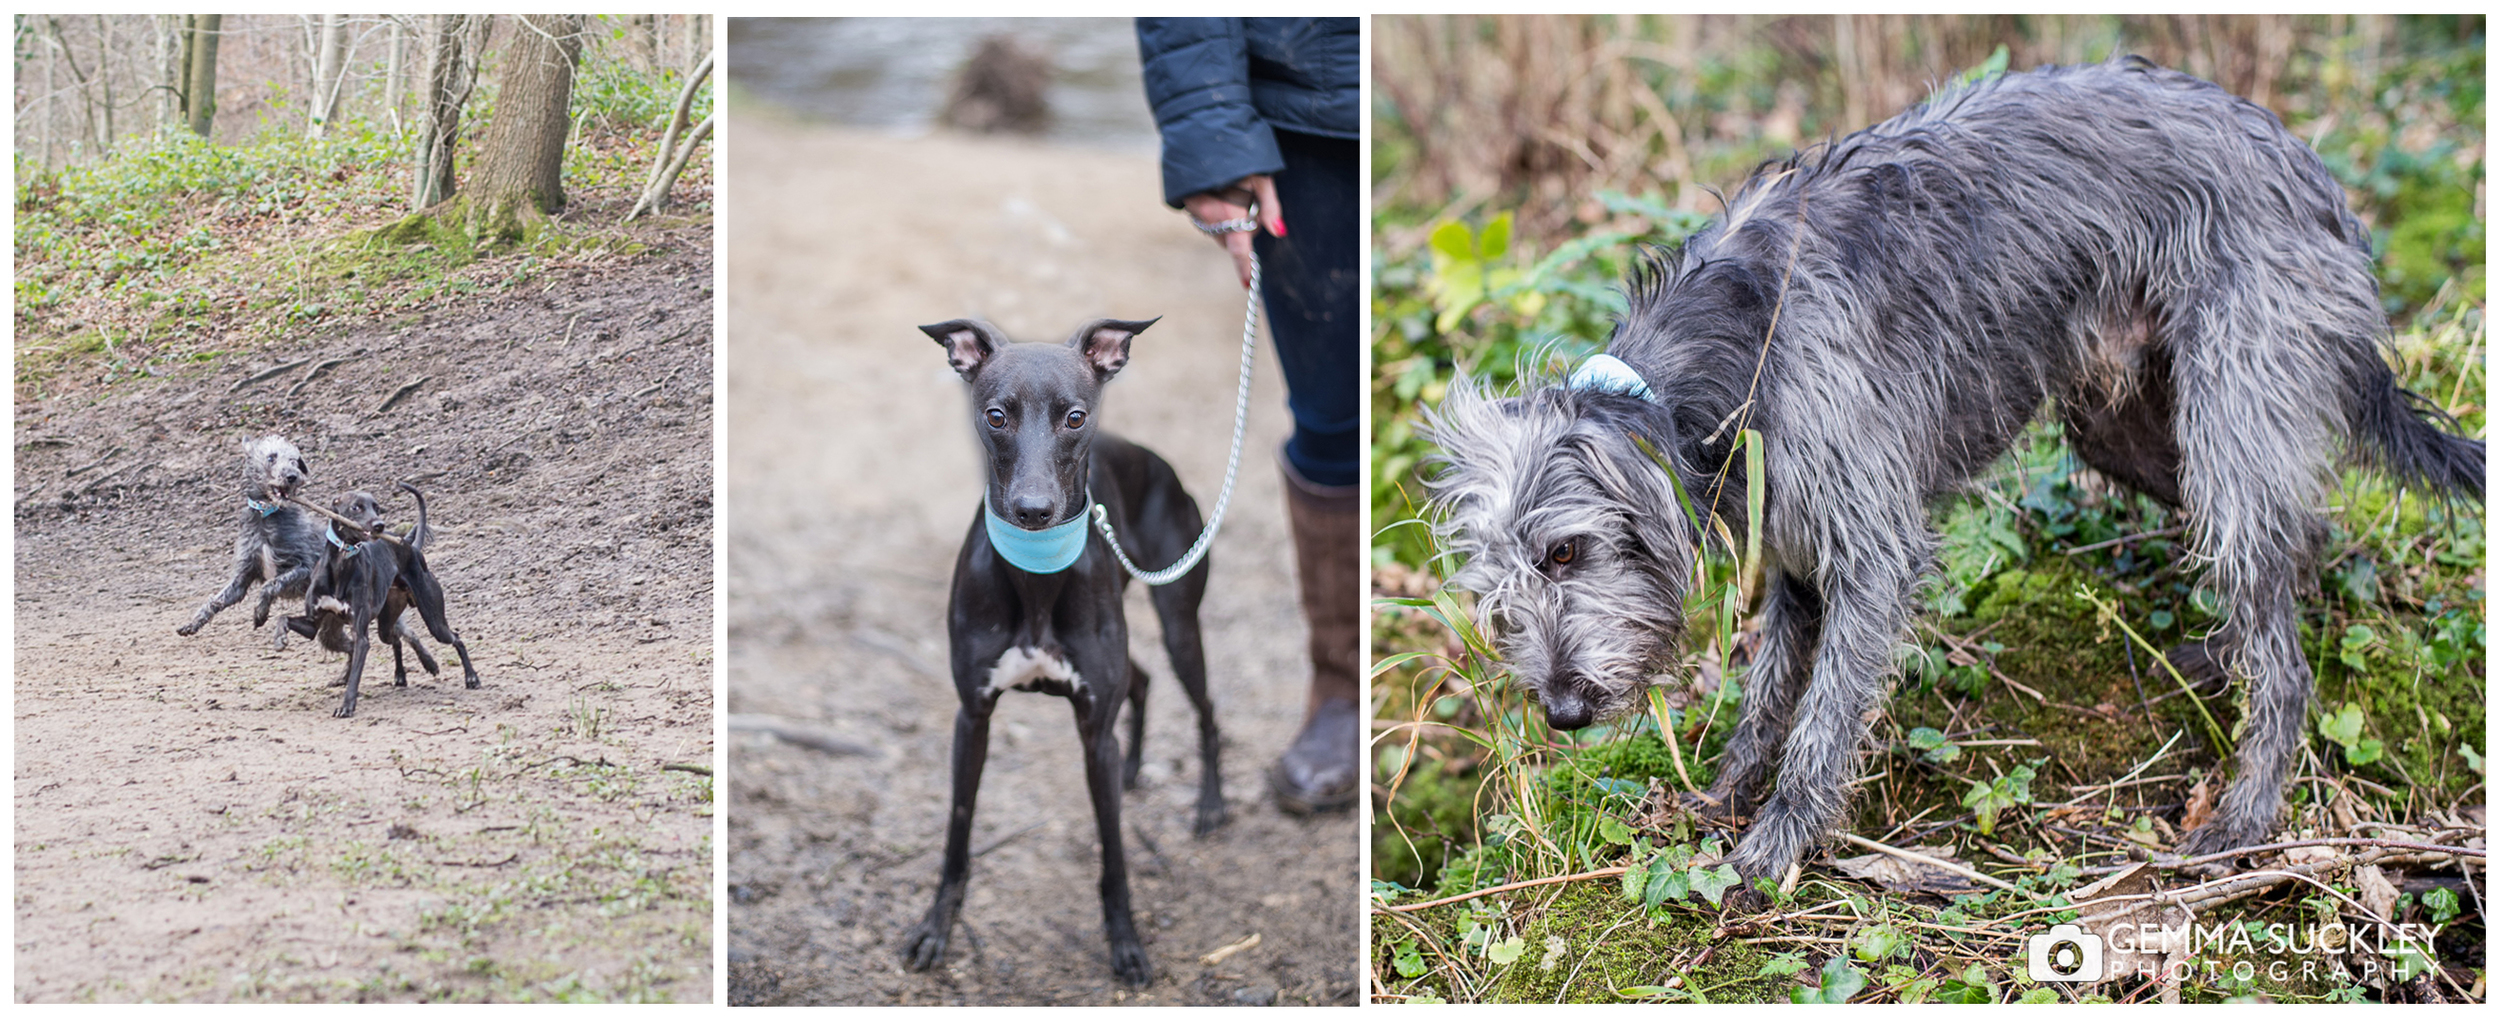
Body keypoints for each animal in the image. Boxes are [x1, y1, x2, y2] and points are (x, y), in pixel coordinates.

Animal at [287, 485, 477, 715]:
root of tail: (411, 547)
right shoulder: (312, 623)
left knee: (455, 638)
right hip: (386, 623)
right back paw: (400, 675)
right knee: (395, 639)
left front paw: (346, 706)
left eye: (377, 507)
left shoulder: (360, 636)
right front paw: (279, 639)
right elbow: (283, 619)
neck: (342, 561)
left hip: (435, 621)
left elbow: (355, 675)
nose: (380, 525)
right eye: (356, 507)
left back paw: (471, 677)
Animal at [905, 315, 1225, 985]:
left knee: (1207, 710)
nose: (1033, 511)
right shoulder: (972, 717)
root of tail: (1157, 461)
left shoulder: (1093, 729)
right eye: (996, 415)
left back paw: (1211, 805)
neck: (1036, 577)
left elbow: (1115, 853)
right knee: (1143, 681)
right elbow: (957, 834)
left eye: (1075, 416)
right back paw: (1134, 769)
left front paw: (1126, 943)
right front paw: (936, 926)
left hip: (1180, 621)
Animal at [1430, 57, 2480, 885]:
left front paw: (1774, 848)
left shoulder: (1871, 550)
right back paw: (2232, 649)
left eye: (1567, 553)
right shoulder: (1797, 553)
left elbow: (1822, 719)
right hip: (2135, 429)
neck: (1728, 350)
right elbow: (1769, 693)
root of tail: (2310, 173)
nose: (1564, 712)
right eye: (1497, 591)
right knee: (2300, 534)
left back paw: (2248, 811)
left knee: (2286, 646)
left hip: (2228, 411)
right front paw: (1725, 794)